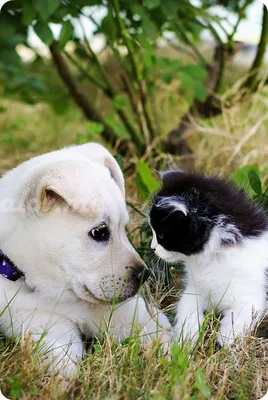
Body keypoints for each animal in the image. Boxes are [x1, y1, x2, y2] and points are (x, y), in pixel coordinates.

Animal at [0, 143, 171, 376]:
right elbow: (63, 360)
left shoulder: (120, 310)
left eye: (123, 227)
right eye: (99, 232)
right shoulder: (39, 323)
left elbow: (153, 329)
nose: (144, 275)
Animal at [149, 170, 268, 346]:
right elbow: (187, 310)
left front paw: (223, 343)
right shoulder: (196, 288)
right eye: (152, 230)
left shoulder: (249, 298)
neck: (215, 254)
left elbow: (235, 321)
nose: (152, 247)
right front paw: (186, 340)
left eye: (162, 236)